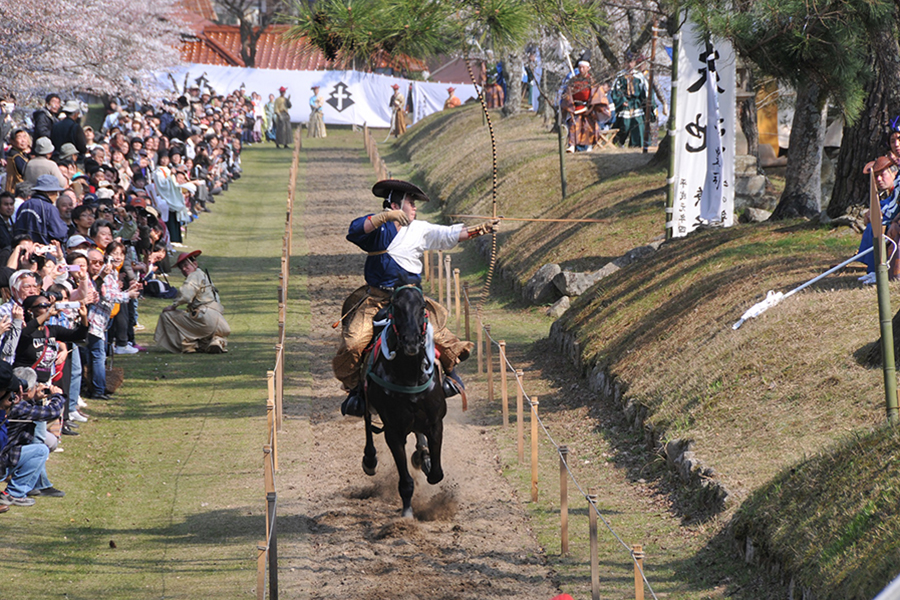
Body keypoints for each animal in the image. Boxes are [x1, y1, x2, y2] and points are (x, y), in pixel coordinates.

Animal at [362, 284, 446, 516]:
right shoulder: (393, 430)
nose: (411, 342)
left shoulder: (435, 422)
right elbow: (405, 479)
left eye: (422, 306)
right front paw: (407, 511)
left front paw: (424, 457)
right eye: (397, 307)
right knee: (367, 425)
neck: (409, 376)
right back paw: (369, 460)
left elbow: (436, 474)